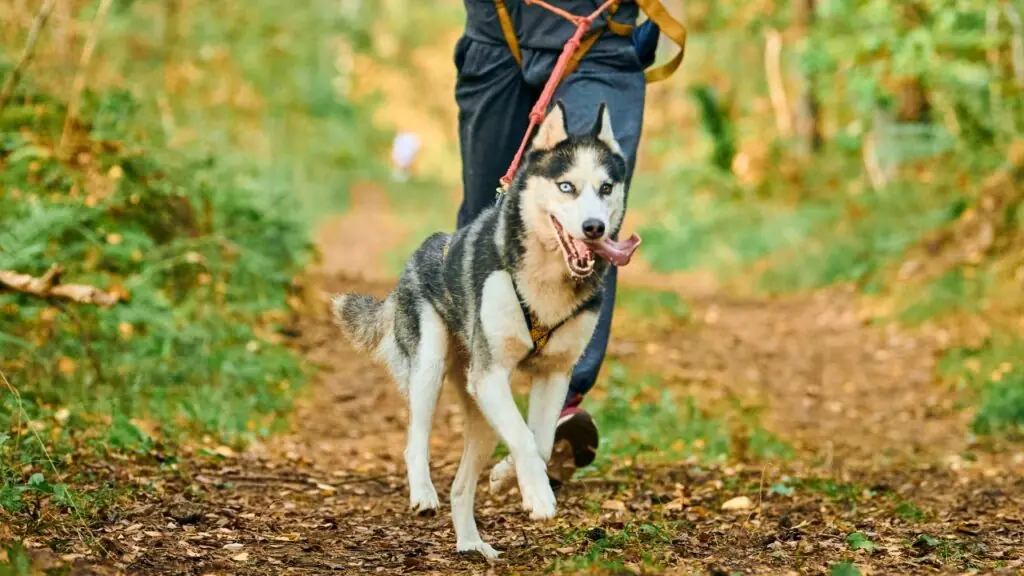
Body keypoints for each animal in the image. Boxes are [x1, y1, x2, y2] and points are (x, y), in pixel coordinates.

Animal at [331, 99, 638, 557]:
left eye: (605, 188)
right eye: (566, 187)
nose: (594, 228)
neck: (545, 277)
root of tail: (421, 252)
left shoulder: (554, 373)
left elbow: (539, 441)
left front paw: (509, 476)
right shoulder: (491, 374)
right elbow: (525, 438)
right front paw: (537, 495)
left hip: (479, 409)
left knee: (462, 485)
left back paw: (473, 544)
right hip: (431, 365)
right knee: (415, 437)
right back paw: (423, 494)